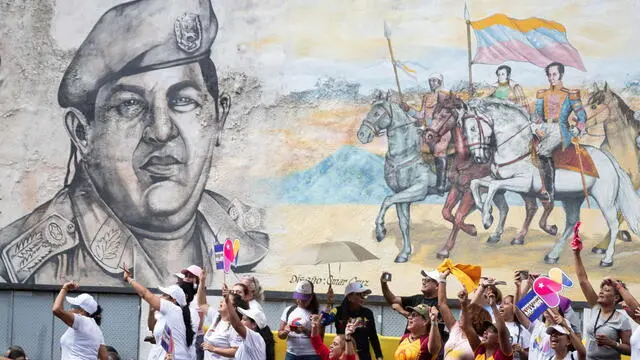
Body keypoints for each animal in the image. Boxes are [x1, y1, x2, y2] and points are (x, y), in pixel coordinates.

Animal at [430, 91, 544, 258]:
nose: (428, 135)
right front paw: (474, 227)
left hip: (523, 187)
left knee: (531, 207)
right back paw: (497, 234)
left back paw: (520, 236)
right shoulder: (456, 188)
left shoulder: (468, 193)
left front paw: (446, 249)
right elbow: (446, 213)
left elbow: (458, 216)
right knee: (506, 208)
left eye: (444, 115)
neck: (466, 159)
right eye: (434, 114)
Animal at [460, 97, 640, 266]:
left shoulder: (522, 183)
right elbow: (476, 183)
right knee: (571, 223)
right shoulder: (499, 177)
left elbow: (492, 186)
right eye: (464, 130)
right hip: (573, 198)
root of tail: (609, 159)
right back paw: (553, 255)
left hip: (605, 200)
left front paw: (487, 218)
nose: (478, 157)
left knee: (613, 224)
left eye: (473, 127)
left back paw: (607, 259)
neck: (517, 146)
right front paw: (484, 210)